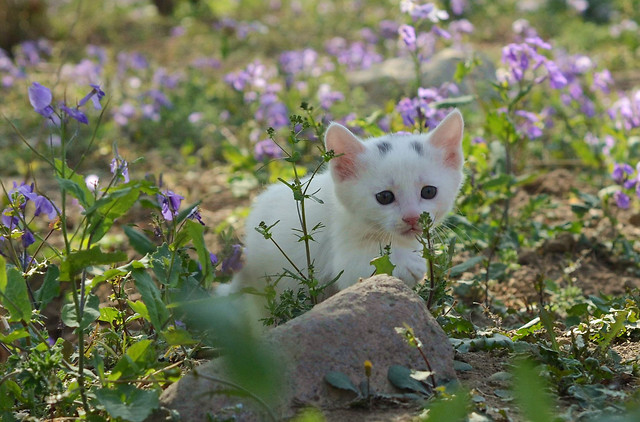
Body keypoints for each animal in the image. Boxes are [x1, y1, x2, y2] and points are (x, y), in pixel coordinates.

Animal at [220, 109, 464, 304]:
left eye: (429, 192)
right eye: (385, 197)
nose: (412, 217)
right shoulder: (339, 246)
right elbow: (358, 268)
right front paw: (407, 262)